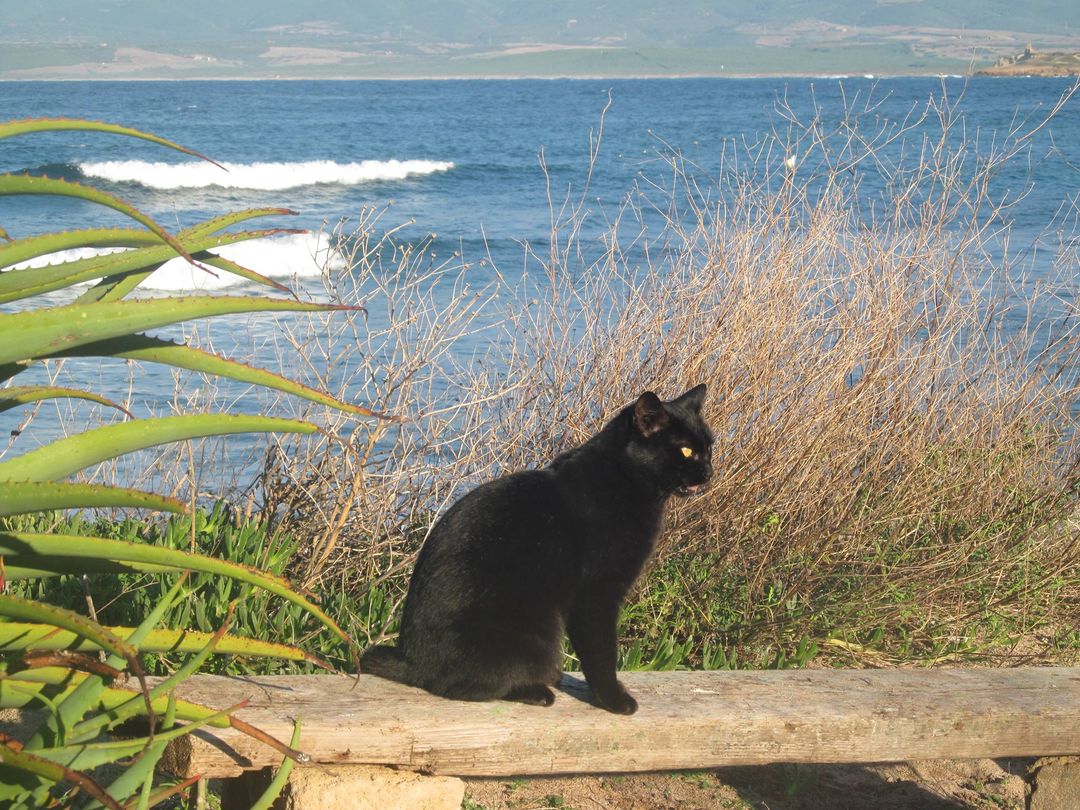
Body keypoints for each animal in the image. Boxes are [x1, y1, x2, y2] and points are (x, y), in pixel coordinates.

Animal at [361, 384, 713, 714]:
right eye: (686, 451)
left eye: (709, 447)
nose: (709, 471)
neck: (625, 481)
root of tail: (411, 662)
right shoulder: (596, 594)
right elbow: (601, 653)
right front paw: (615, 700)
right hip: (534, 632)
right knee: (462, 687)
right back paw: (536, 691)